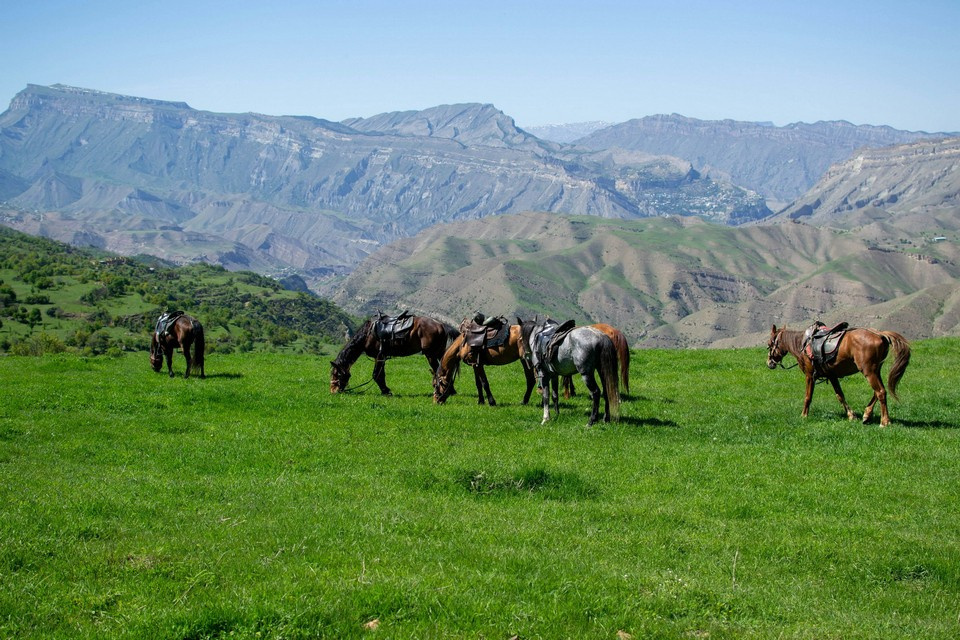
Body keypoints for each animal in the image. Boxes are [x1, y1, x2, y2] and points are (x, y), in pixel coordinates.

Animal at [764, 324, 916, 424]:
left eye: (770, 344)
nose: (769, 362)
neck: (803, 344)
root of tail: (879, 334)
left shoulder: (809, 375)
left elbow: (808, 397)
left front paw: (804, 415)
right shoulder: (832, 376)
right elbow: (840, 395)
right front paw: (851, 415)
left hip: (868, 371)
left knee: (880, 392)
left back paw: (884, 421)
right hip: (875, 370)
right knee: (878, 391)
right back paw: (867, 415)